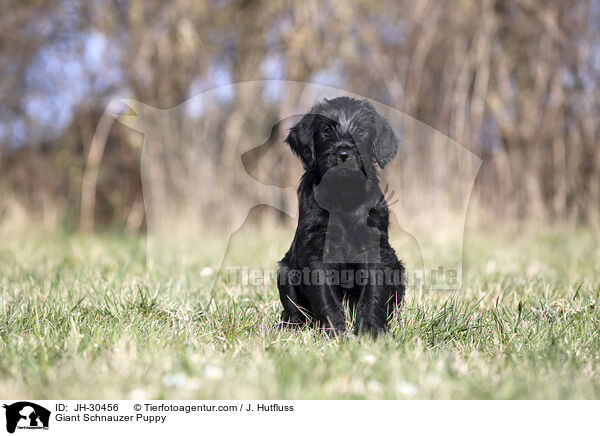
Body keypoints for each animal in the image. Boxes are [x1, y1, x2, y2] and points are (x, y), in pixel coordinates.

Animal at [278, 97, 406, 338]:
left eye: (361, 130)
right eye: (327, 130)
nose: (344, 153)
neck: (344, 194)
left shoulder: (376, 250)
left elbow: (373, 293)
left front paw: (372, 331)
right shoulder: (315, 252)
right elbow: (325, 296)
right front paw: (334, 333)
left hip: (397, 268)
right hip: (286, 272)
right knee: (292, 308)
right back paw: (290, 327)